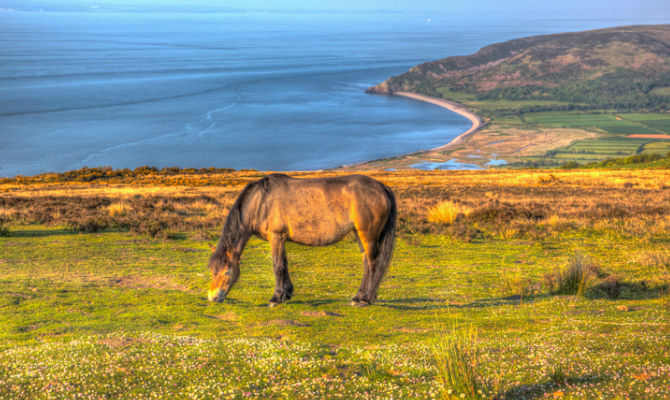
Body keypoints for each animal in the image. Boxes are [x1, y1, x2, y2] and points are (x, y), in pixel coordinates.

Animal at [209, 173, 400, 308]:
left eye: (227, 272)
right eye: (211, 270)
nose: (213, 297)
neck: (260, 202)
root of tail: (382, 187)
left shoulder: (275, 237)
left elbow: (277, 267)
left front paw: (275, 298)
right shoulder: (281, 239)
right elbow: (284, 265)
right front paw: (286, 294)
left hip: (368, 236)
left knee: (374, 265)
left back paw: (366, 299)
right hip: (359, 235)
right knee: (366, 264)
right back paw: (358, 297)